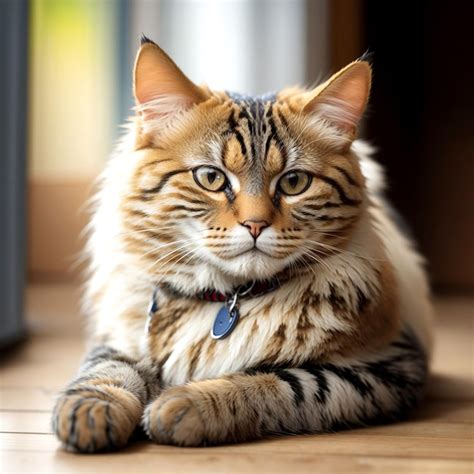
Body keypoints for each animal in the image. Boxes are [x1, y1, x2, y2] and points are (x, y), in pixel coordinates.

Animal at [51, 37, 434, 452]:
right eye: (211, 178)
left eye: (294, 182)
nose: (256, 225)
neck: (227, 298)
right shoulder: (120, 335)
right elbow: (107, 369)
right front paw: (91, 410)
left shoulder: (389, 364)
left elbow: (285, 383)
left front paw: (186, 405)